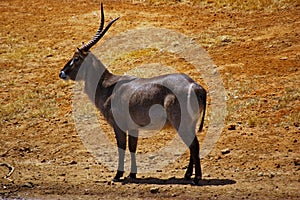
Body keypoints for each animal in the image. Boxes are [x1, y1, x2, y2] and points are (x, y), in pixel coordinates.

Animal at [59, 3, 207, 184]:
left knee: (194, 145)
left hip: (182, 123)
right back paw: (187, 175)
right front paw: (132, 174)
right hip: (189, 123)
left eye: (76, 58)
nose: (62, 72)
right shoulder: (134, 128)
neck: (108, 86)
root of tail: (195, 85)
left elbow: (121, 147)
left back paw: (196, 178)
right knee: (192, 145)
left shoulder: (119, 126)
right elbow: (133, 148)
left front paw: (118, 175)